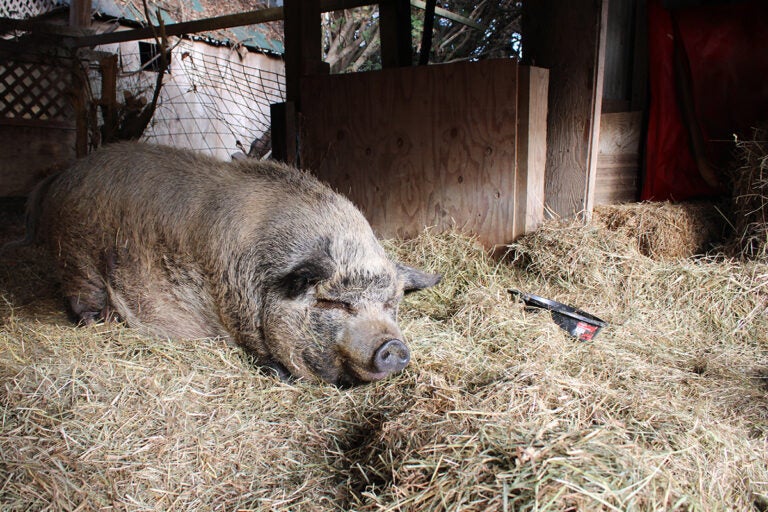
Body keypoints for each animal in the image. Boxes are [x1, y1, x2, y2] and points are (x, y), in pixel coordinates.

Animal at [27, 142, 440, 386]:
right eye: (335, 303)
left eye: (391, 305)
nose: (393, 345)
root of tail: (61, 177)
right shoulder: (234, 305)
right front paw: (280, 375)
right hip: (75, 255)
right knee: (82, 295)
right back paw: (99, 321)